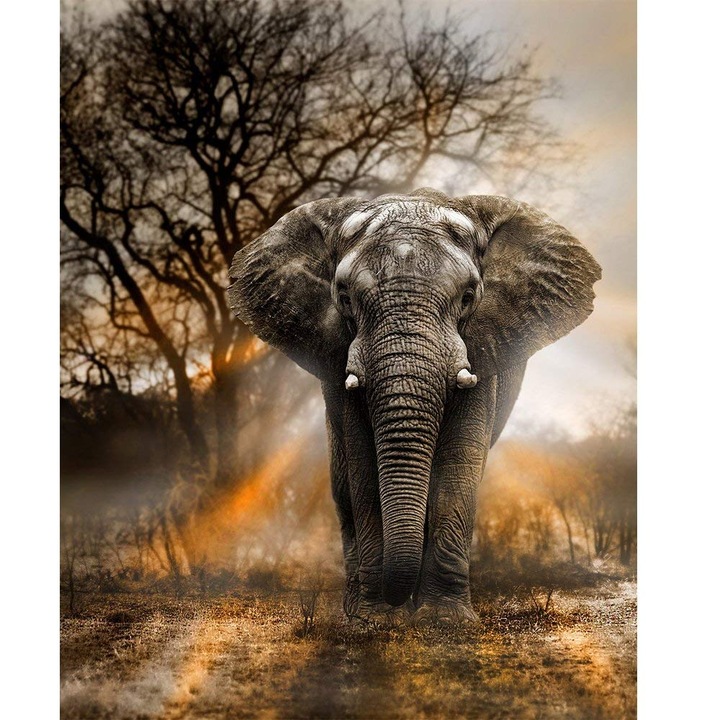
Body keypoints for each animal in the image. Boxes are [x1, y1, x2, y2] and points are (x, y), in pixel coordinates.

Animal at [228, 187, 601, 626]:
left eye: (468, 297)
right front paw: (374, 622)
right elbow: (364, 467)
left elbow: (458, 464)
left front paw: (445, 621)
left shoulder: (480, 349)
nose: (394, 602)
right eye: (344, 298)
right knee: (342, 488)